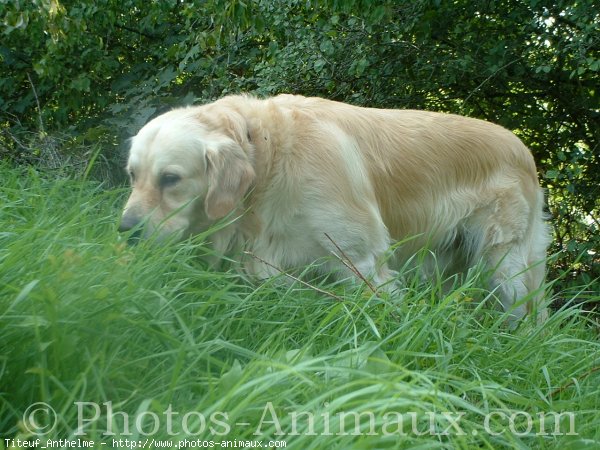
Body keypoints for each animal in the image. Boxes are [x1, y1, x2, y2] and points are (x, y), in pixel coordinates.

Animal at [119, 93, 552, 322]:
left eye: (170, 178)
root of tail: (522, 147)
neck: (268, 160)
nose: (126, 232)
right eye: (132, 174)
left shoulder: (363, 263)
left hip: (507, 264)